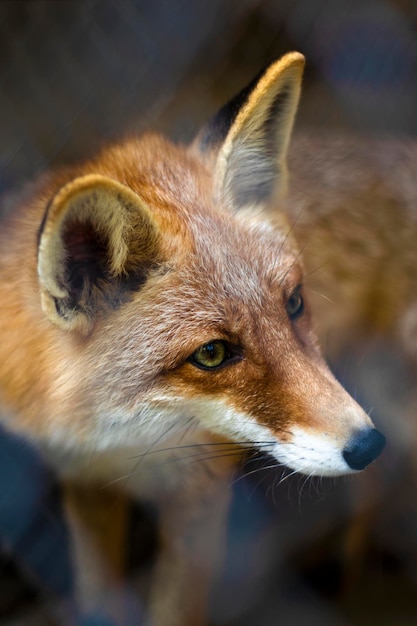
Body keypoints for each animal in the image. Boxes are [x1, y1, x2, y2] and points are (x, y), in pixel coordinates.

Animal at [0, 53, 384, 624]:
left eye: (293, 304)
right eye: (212, 353)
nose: (367, 445)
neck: (120, 440)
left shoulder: (200, 497)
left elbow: (177, 608)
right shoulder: (83, 480)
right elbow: (97, 594)